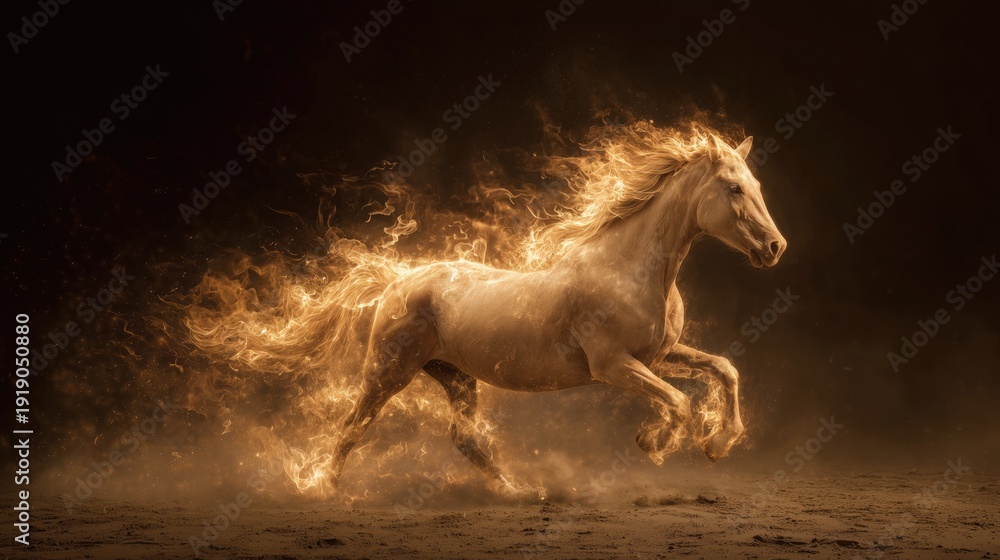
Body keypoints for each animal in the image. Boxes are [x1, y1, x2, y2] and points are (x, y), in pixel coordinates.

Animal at [328, 132, 787, 491]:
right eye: (733, 187)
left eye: (757, 184)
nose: (775, 247)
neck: (631, 271)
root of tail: (396, 280)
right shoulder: (613, 364)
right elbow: (678, 401)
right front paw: (652, 443)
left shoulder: (658, 355)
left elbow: (724, 369)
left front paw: (718, 444)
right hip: (389, 370)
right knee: (352, 426)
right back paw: (326, 492)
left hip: (455, 375)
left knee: (465, 438)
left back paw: (518, 493)